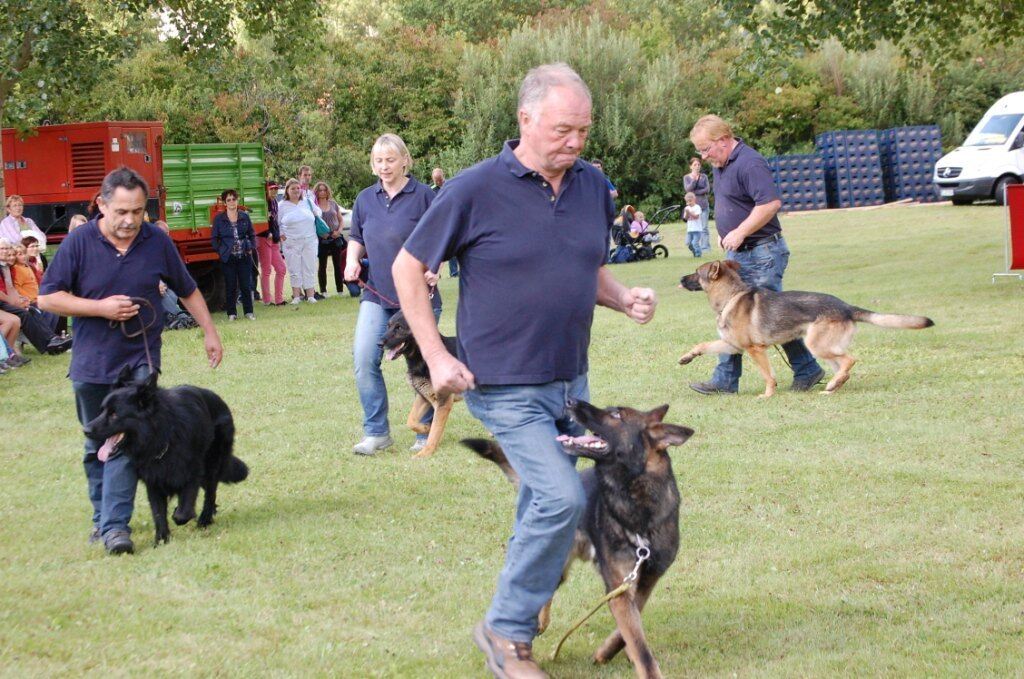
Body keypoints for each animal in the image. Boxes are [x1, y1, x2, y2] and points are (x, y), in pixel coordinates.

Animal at [82, 366, 248, 548]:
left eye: (114, 414)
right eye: (102, 411)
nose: (86, 430)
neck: (161, 435)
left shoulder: (191, 474)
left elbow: (183, 512)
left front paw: (179, 516)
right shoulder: (153, 482)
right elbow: (158, 513)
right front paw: (161, 540)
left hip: (212, 464)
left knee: (211, 493)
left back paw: (204, 519)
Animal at [378, 311, 462, 458]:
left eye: (399, 327)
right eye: (388, 326)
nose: (379, 343)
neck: (423, 359)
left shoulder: (443, 403)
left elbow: (434, 431)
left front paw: (425, 453)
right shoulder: (423, 397)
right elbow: (411, 421)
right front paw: (425, 428)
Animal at [466, 399, 696, 679]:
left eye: (616, 415)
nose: (570, 401)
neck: (637, 503)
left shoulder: (646, 580)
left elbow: (630, 629)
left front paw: (608, 651)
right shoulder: (619, 585)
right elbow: (639, 644)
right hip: (558, 559)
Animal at [679, 260, 937, 399]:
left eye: (696, 272)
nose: (680, 279)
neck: (731, 296)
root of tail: (846, 307)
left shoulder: (755, 349)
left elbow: (768, 376)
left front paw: (768, 395)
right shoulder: (732, 345)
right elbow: (703, 345)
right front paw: (687, 357)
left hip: (817, 345)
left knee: (850, 360)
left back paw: (832, 385)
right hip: (824, 348)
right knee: (843, 368)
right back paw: (832, 387)